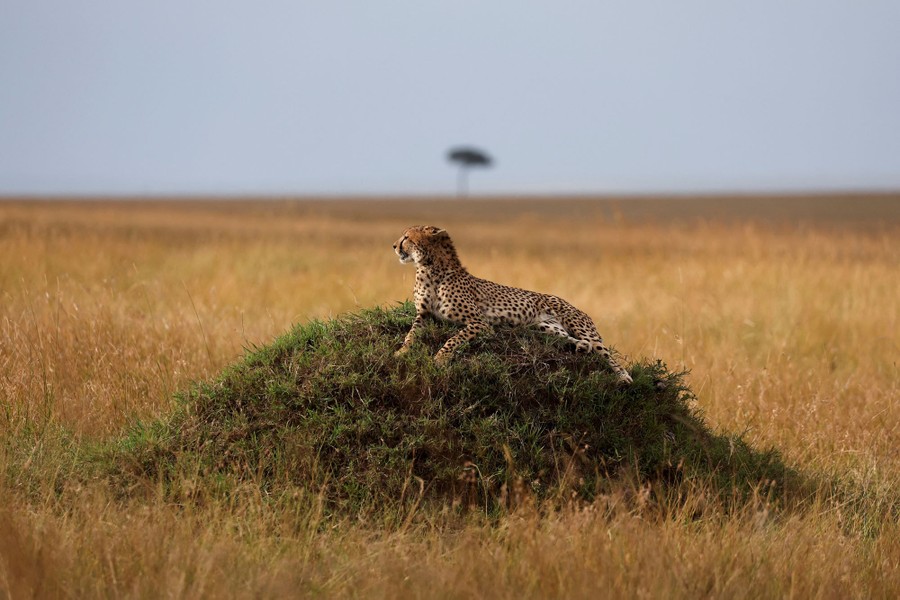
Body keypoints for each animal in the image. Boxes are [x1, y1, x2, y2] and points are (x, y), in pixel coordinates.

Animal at [392, 225, 632, 384]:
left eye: (407, 238)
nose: (394, 245)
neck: (428, 269)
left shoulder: (480, 323)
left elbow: (454, 338)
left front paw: (441, 357)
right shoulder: (423, 315)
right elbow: (411, 334)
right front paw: (401, 352)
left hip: (580, 325)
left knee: (605, 352)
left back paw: (624, 376)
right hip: (545, 327)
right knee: (576, 341)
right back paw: (580, 346)